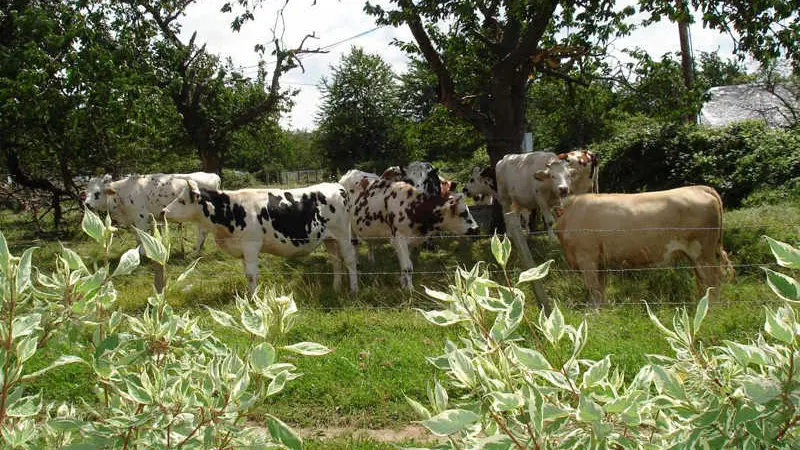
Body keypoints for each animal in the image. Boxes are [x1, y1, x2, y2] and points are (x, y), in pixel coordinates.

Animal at [84, 172, 220, 253]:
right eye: (86, 192)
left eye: (97, 193)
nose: (86, 204)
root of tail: (213, 175)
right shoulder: (133, 220)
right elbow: (137, 236)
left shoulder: (141, 216)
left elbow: (141, 235)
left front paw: (142, 253)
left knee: (202, 231)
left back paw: (195, 250)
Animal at [162, 181, 356, 294]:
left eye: (182, 201)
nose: (163, 211)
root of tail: (336, 186)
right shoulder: (242, 250)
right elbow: (247, 275)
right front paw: (248, 296)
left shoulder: (251, 246)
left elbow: (251, 275)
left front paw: (253, 300)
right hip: (329, 239)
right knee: (336, 262)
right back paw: (336, 288)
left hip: (343, 235)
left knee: (349, 260)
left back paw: (353, 290)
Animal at [552, 185, 736, 306]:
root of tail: (699, 188)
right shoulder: (599, 261)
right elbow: (600, 288)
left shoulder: (587, 257)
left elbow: (593, 288)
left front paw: (593, 314)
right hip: (696, 256)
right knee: (702, 281)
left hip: (702, 251)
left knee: (712, 279)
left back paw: (710, 310)